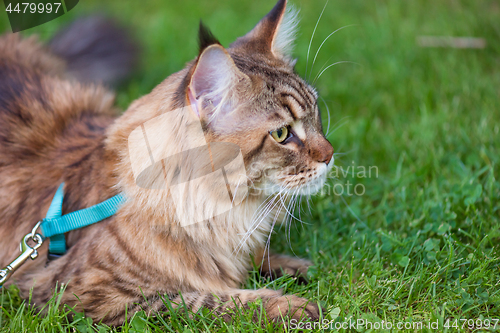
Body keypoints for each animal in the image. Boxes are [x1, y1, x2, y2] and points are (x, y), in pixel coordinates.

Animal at [0, 0, 336, 322]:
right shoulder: (81, 294)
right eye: (282, 133)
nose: (330, 155)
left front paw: (296, 266)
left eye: (316, 113)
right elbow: (205, 300)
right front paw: (288, 306)